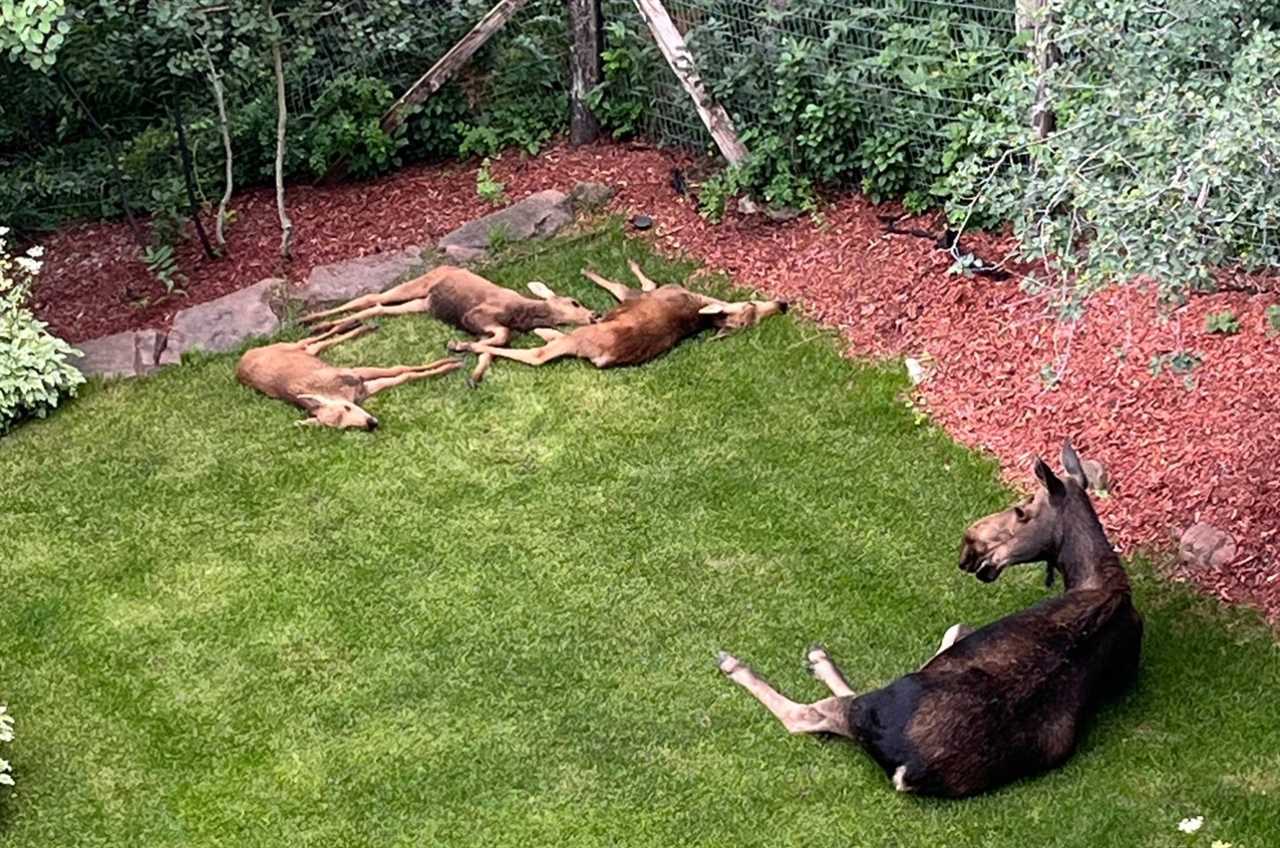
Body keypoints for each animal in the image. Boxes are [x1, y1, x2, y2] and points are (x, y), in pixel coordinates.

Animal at [238, 324, 463, 435]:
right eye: (345, 427)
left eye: (346, 408)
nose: (371, 423)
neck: (336, 392)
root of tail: (239, 362)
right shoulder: (365, 387)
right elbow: (403, 376)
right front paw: (451, 364)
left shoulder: (356, 372)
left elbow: (401, 368)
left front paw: (452, 362)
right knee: (320, 343)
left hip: (293, 346)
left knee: (314, 339)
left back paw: (362, 325)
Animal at [300, 266, 599, 384]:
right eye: (574, 302)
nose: (594, 314)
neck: (521, 314)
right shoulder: (475, 315)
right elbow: (502, 336)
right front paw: (458, 346)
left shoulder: (487, 327)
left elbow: (494, 345)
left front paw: (473, 369)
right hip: (419, 285)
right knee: (372, 296)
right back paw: (309, 320)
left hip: (421, 303)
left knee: (378, 307)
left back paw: (325, 324)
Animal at [450, 261, 788, 371]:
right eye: (752, 306)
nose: (783, 304)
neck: (700, 310)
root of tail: (603, 354)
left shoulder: (640, 294)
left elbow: (628, 282)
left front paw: (589, 270)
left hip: (578, 337)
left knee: (538, 354)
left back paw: (465, 346)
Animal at [716, 445, 1146, 804]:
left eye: (1021, 509)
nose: (968, 547)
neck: (1093, 576)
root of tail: (907, 770)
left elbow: (954, 630)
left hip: (881, 698)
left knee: (806, 716)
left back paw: (750, 664)